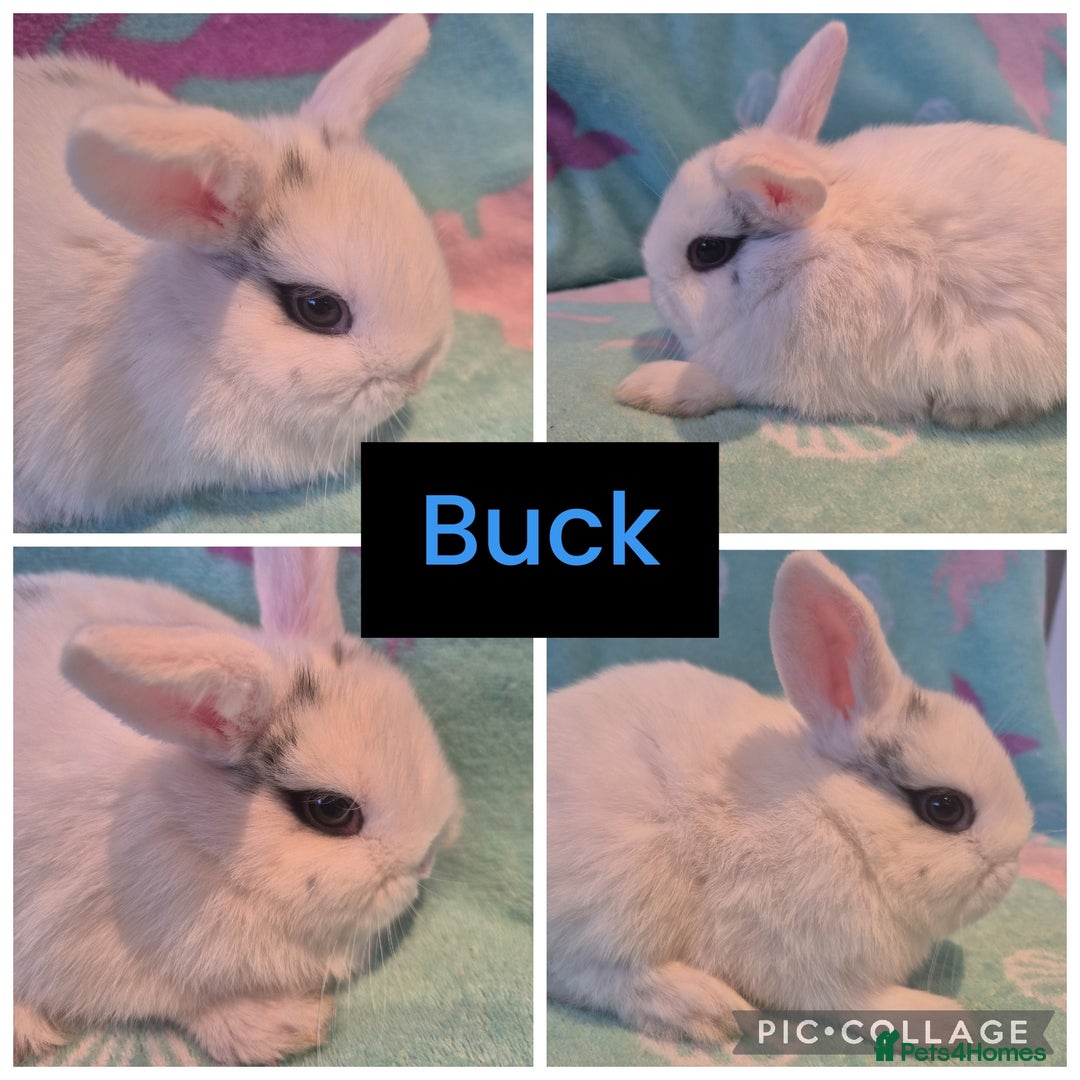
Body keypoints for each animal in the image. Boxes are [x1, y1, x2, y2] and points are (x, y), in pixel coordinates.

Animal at [548, 551, 1033, 1042]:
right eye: (945, 808)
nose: (1013, 862)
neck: (841, 821)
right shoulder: (805, 961)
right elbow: (855, 1002)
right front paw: (946, 1017)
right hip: (625, 890)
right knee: (595, 973)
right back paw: (706, 1008)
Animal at [619, 21, 1065, 428]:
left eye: (706, 250)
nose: (656, 293)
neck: (802, 256)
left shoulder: (772, 373)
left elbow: (722, 383)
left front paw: (645, 387)